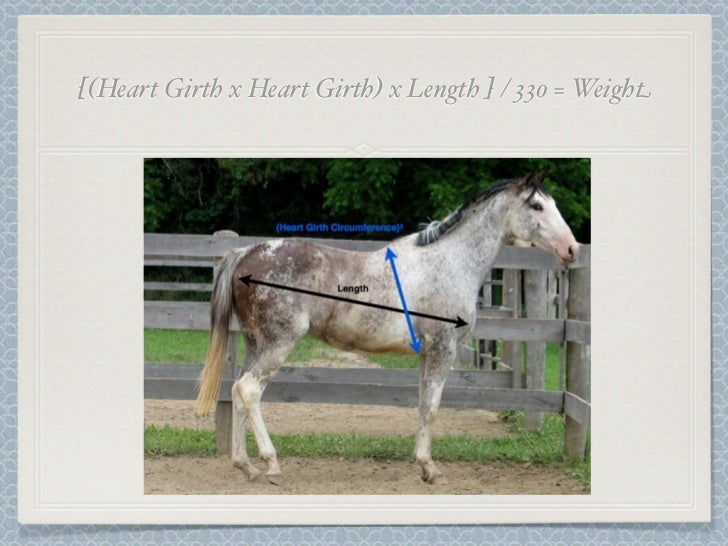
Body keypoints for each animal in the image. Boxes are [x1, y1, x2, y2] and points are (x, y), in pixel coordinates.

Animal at [196, 171, 579, 486]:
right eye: (536, 205)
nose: (572, 249)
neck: (449, 261)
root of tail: (247, 253)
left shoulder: (427, 352)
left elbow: (423, 404)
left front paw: (423, 466)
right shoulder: (443, 347)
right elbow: (433, 407)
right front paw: (430, 469)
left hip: (255, 343)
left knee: (237, 392)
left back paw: (246, 467)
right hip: (278, 344)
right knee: (249, 390)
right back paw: (272, 465)